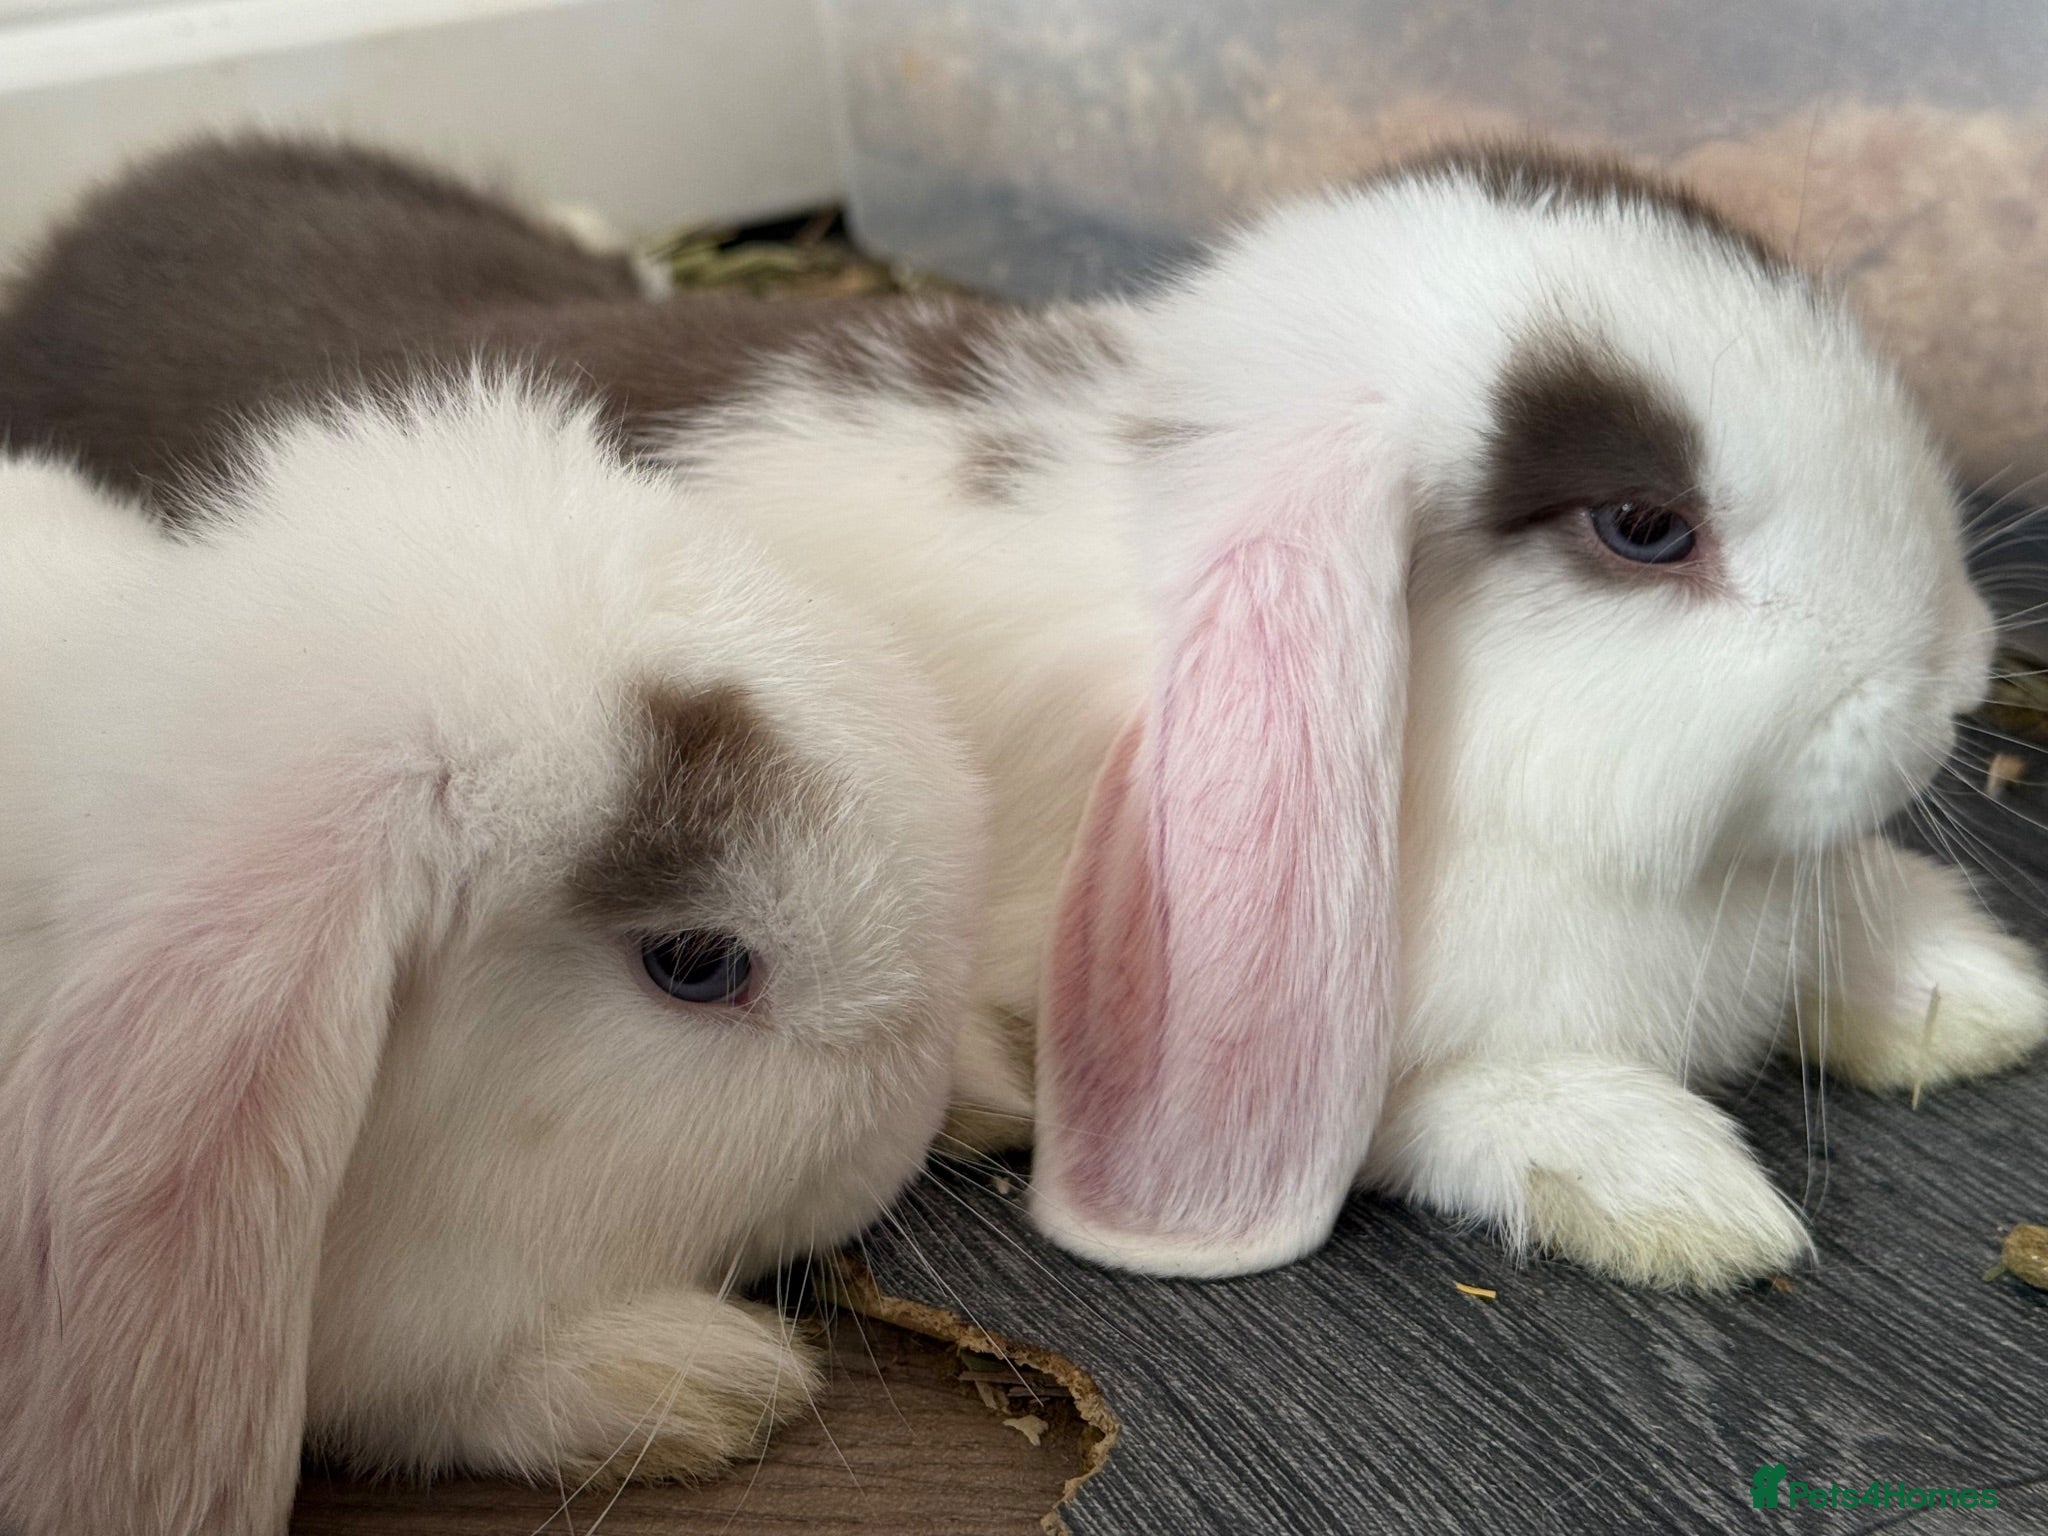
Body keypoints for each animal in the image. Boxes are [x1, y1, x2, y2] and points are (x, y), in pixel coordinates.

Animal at [4, 136, 2043, 1293]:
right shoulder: (1370, 1063)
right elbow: (1481, 1106)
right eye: (1643, 527)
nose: (1953, 673)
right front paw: (1685, 1199)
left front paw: (1975, 1002)